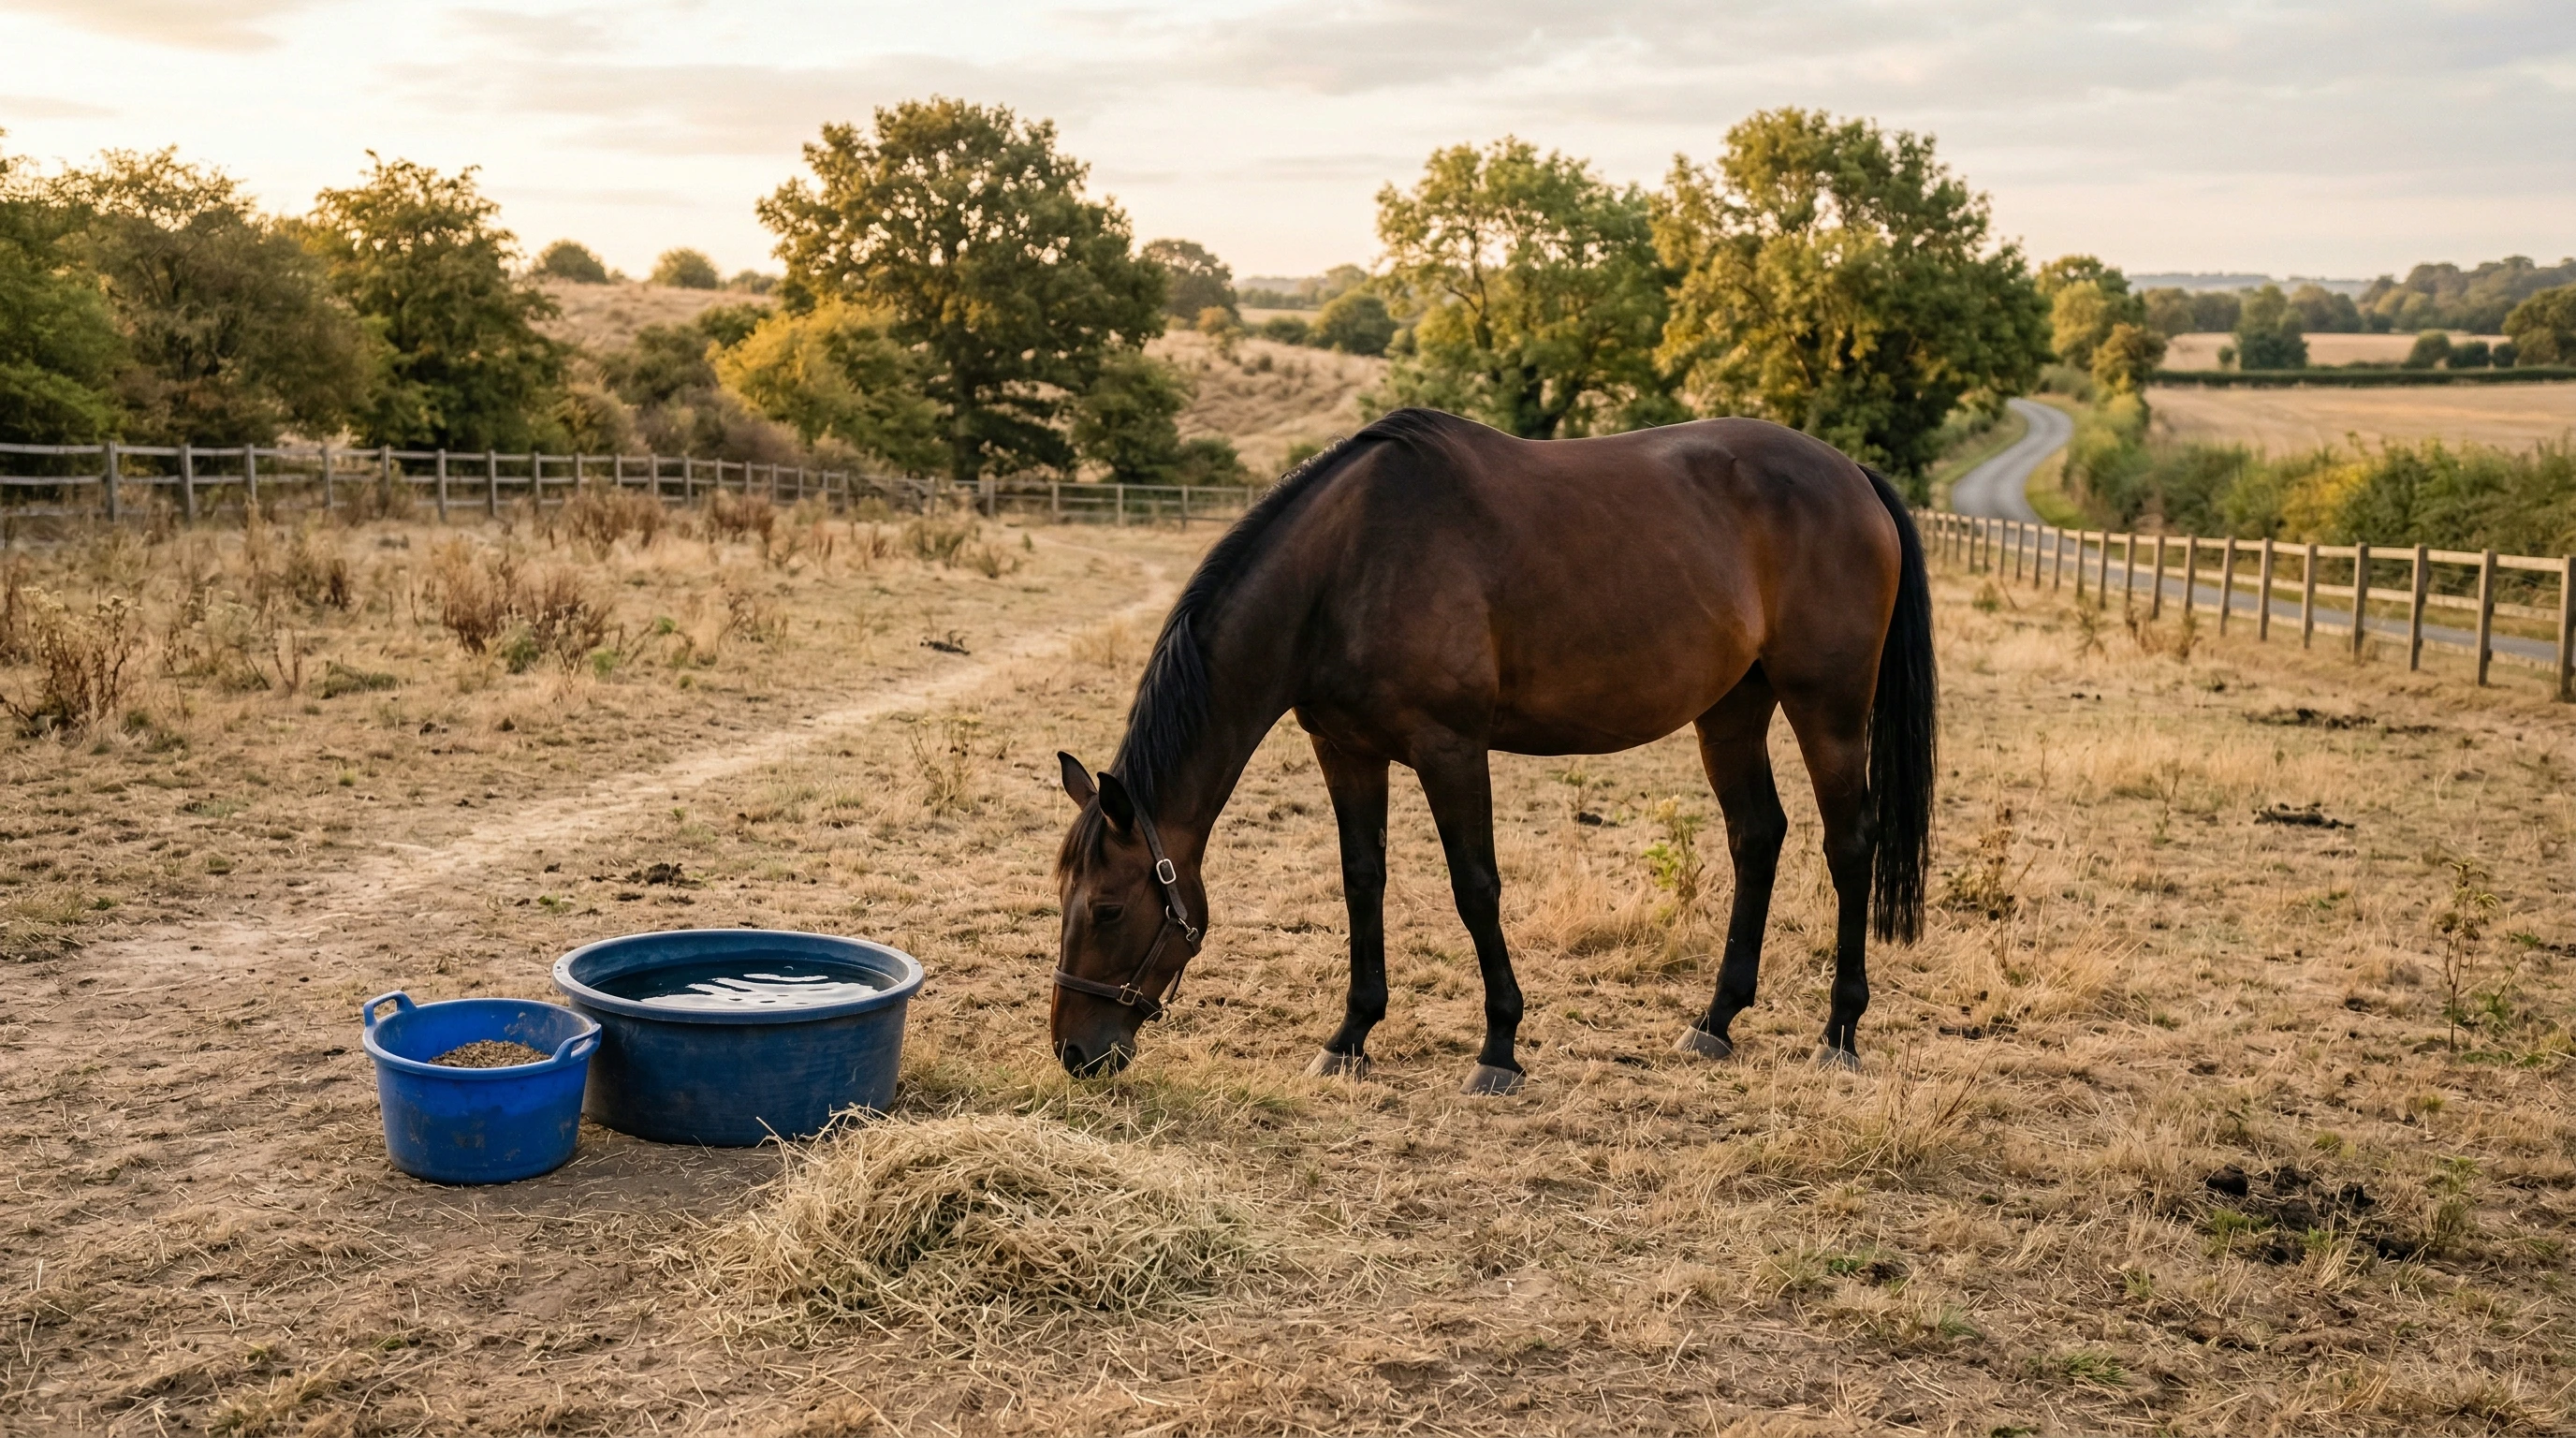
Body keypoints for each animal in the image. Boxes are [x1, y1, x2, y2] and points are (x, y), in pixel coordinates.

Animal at [1051, 406, 1934, 1093]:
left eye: (1108, 907)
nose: (1075, 1051)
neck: (1348, 565)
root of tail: (1852, 475)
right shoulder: (1345, 750)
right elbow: (1361, 882)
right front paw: (1350, 1038)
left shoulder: (1450, 750)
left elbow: (1475, 887)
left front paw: (1499, 1048)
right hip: (1731, 710)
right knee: (1757, 836)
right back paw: (1715, 1020)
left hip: (1828, 707)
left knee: (1849, 845)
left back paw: (1839, 1034)